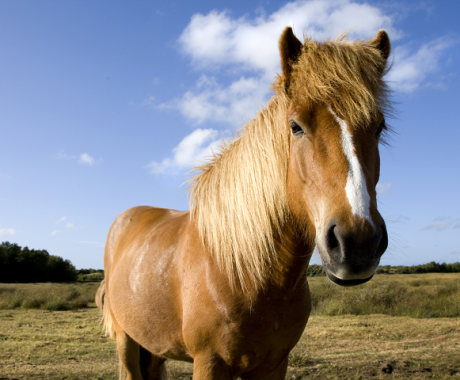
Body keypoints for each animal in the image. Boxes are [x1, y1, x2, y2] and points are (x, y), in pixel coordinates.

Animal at [100, 27, 392, 380]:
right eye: (295, 126)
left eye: (379, 127)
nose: (358, 242)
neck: (245, 271)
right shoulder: (209, 362)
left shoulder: (275, 364)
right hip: (126, 341)